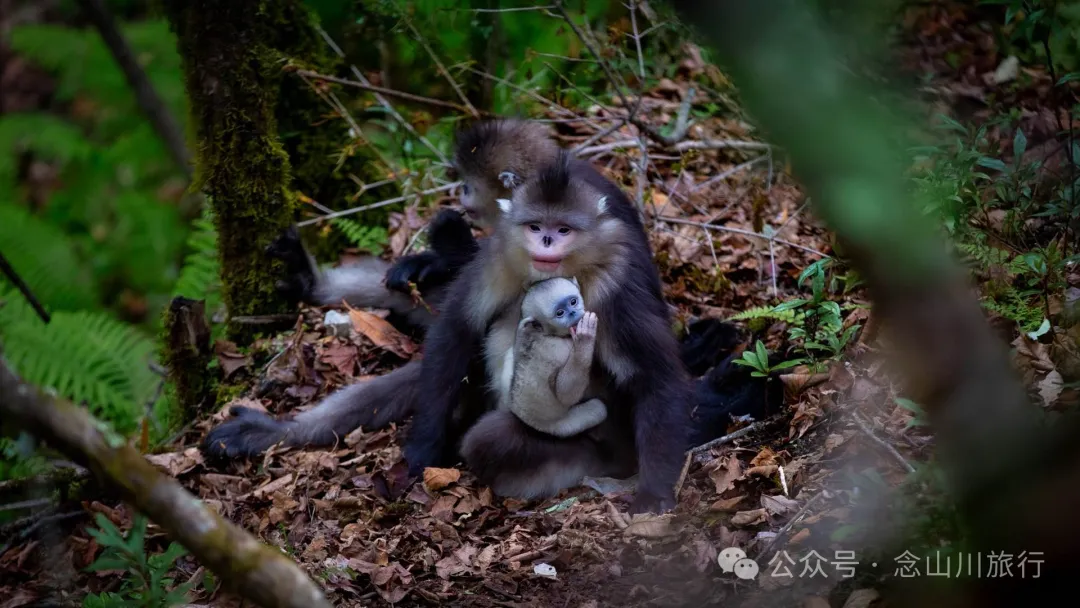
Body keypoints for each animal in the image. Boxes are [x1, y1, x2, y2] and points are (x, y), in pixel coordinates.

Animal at [500, 276, 608, 438]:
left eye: (573, 302)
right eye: (560, 313)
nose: (573, 313)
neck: (547, 334)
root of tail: (523, 416)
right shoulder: (559, 350)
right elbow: (566, 394)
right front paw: (585, 338)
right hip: (559, 427)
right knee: (598, 408)